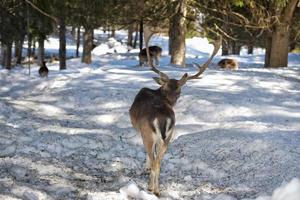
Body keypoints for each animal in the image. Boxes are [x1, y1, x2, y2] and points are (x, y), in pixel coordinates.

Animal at [128, 38, 220, 195]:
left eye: (179, 91)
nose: (173, 101)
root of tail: (162, 118)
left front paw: (145, 169)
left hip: (148, 134)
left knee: (155, 161)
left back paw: (152, 188)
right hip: (168, 136)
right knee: (159, 161)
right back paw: (157, 190)